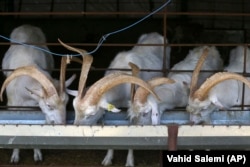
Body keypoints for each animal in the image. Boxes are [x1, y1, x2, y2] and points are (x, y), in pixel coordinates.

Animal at [1, 24, 75, 163]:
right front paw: (15, 155)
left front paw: (37, 153)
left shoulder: (35, 107)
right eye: (49, 105)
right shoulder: (12, 106)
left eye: (67, 102)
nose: (62, 124)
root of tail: (27, 25)